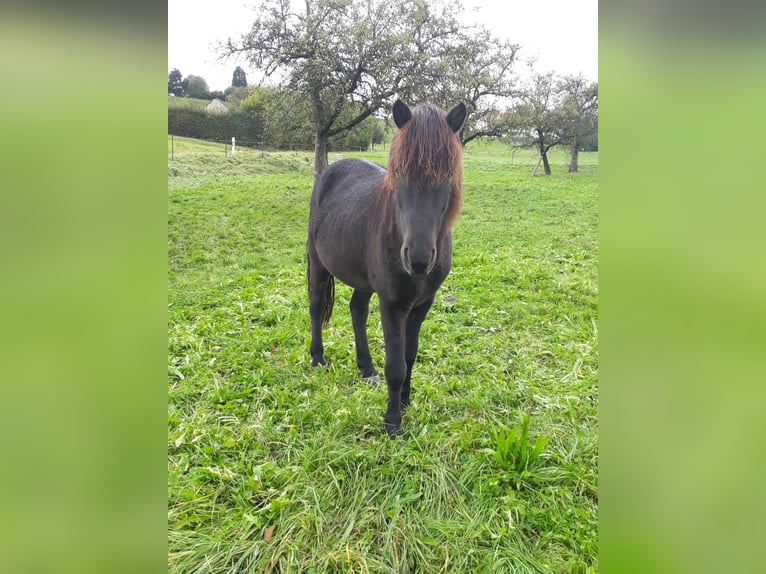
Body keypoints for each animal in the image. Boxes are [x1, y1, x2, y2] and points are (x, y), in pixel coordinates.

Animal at [308, 101, 468, 438]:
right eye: (400, 172)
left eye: (447, 175)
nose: (418, 259)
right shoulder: (392, 304)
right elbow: (395, 365)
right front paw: (393, 421)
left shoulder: (422, 304)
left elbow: (409, 355)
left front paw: (405, 401)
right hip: (318, 263)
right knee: (316, 306)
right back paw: (318, 359)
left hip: (363, 280)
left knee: (357, 310)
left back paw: (366, 368)